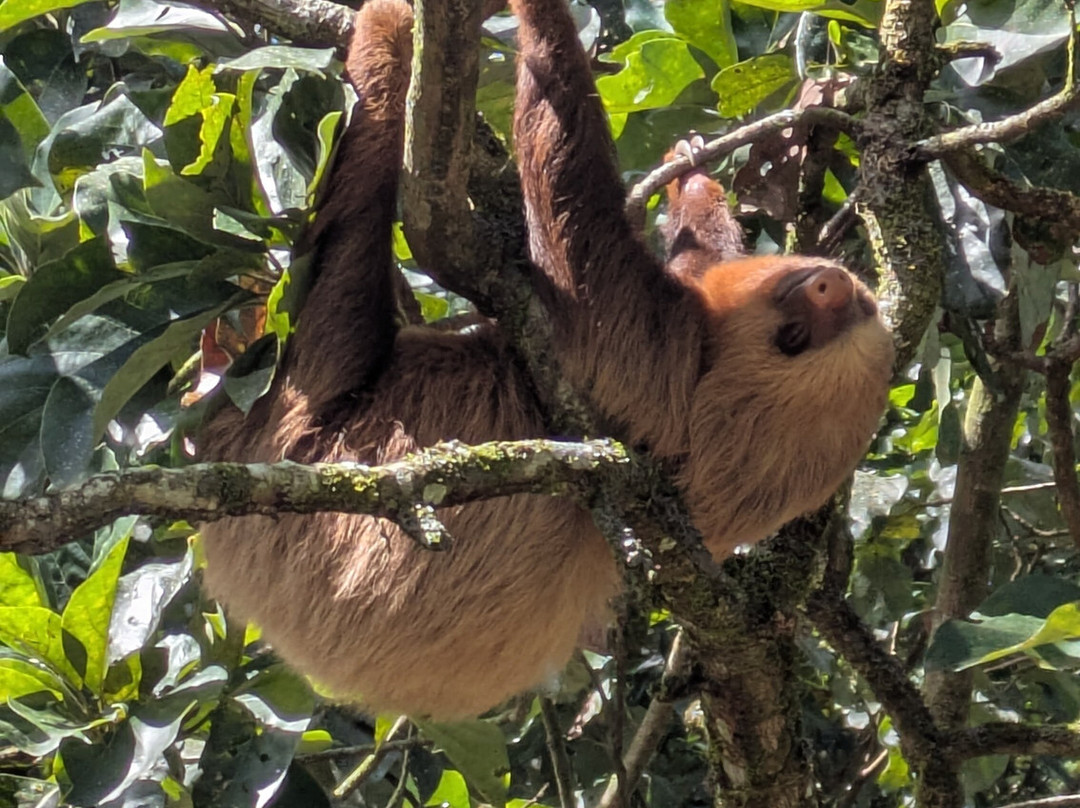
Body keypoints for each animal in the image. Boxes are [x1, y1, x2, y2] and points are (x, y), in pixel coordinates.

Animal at [198, 0, 894, 719]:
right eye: (829, 315)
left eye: (794, 338)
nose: (832, 286)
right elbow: (694, 260)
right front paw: (693, 184)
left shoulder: (650, 363)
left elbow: (575, 227)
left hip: (294, 443)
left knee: (340, 264)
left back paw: (384, 41)